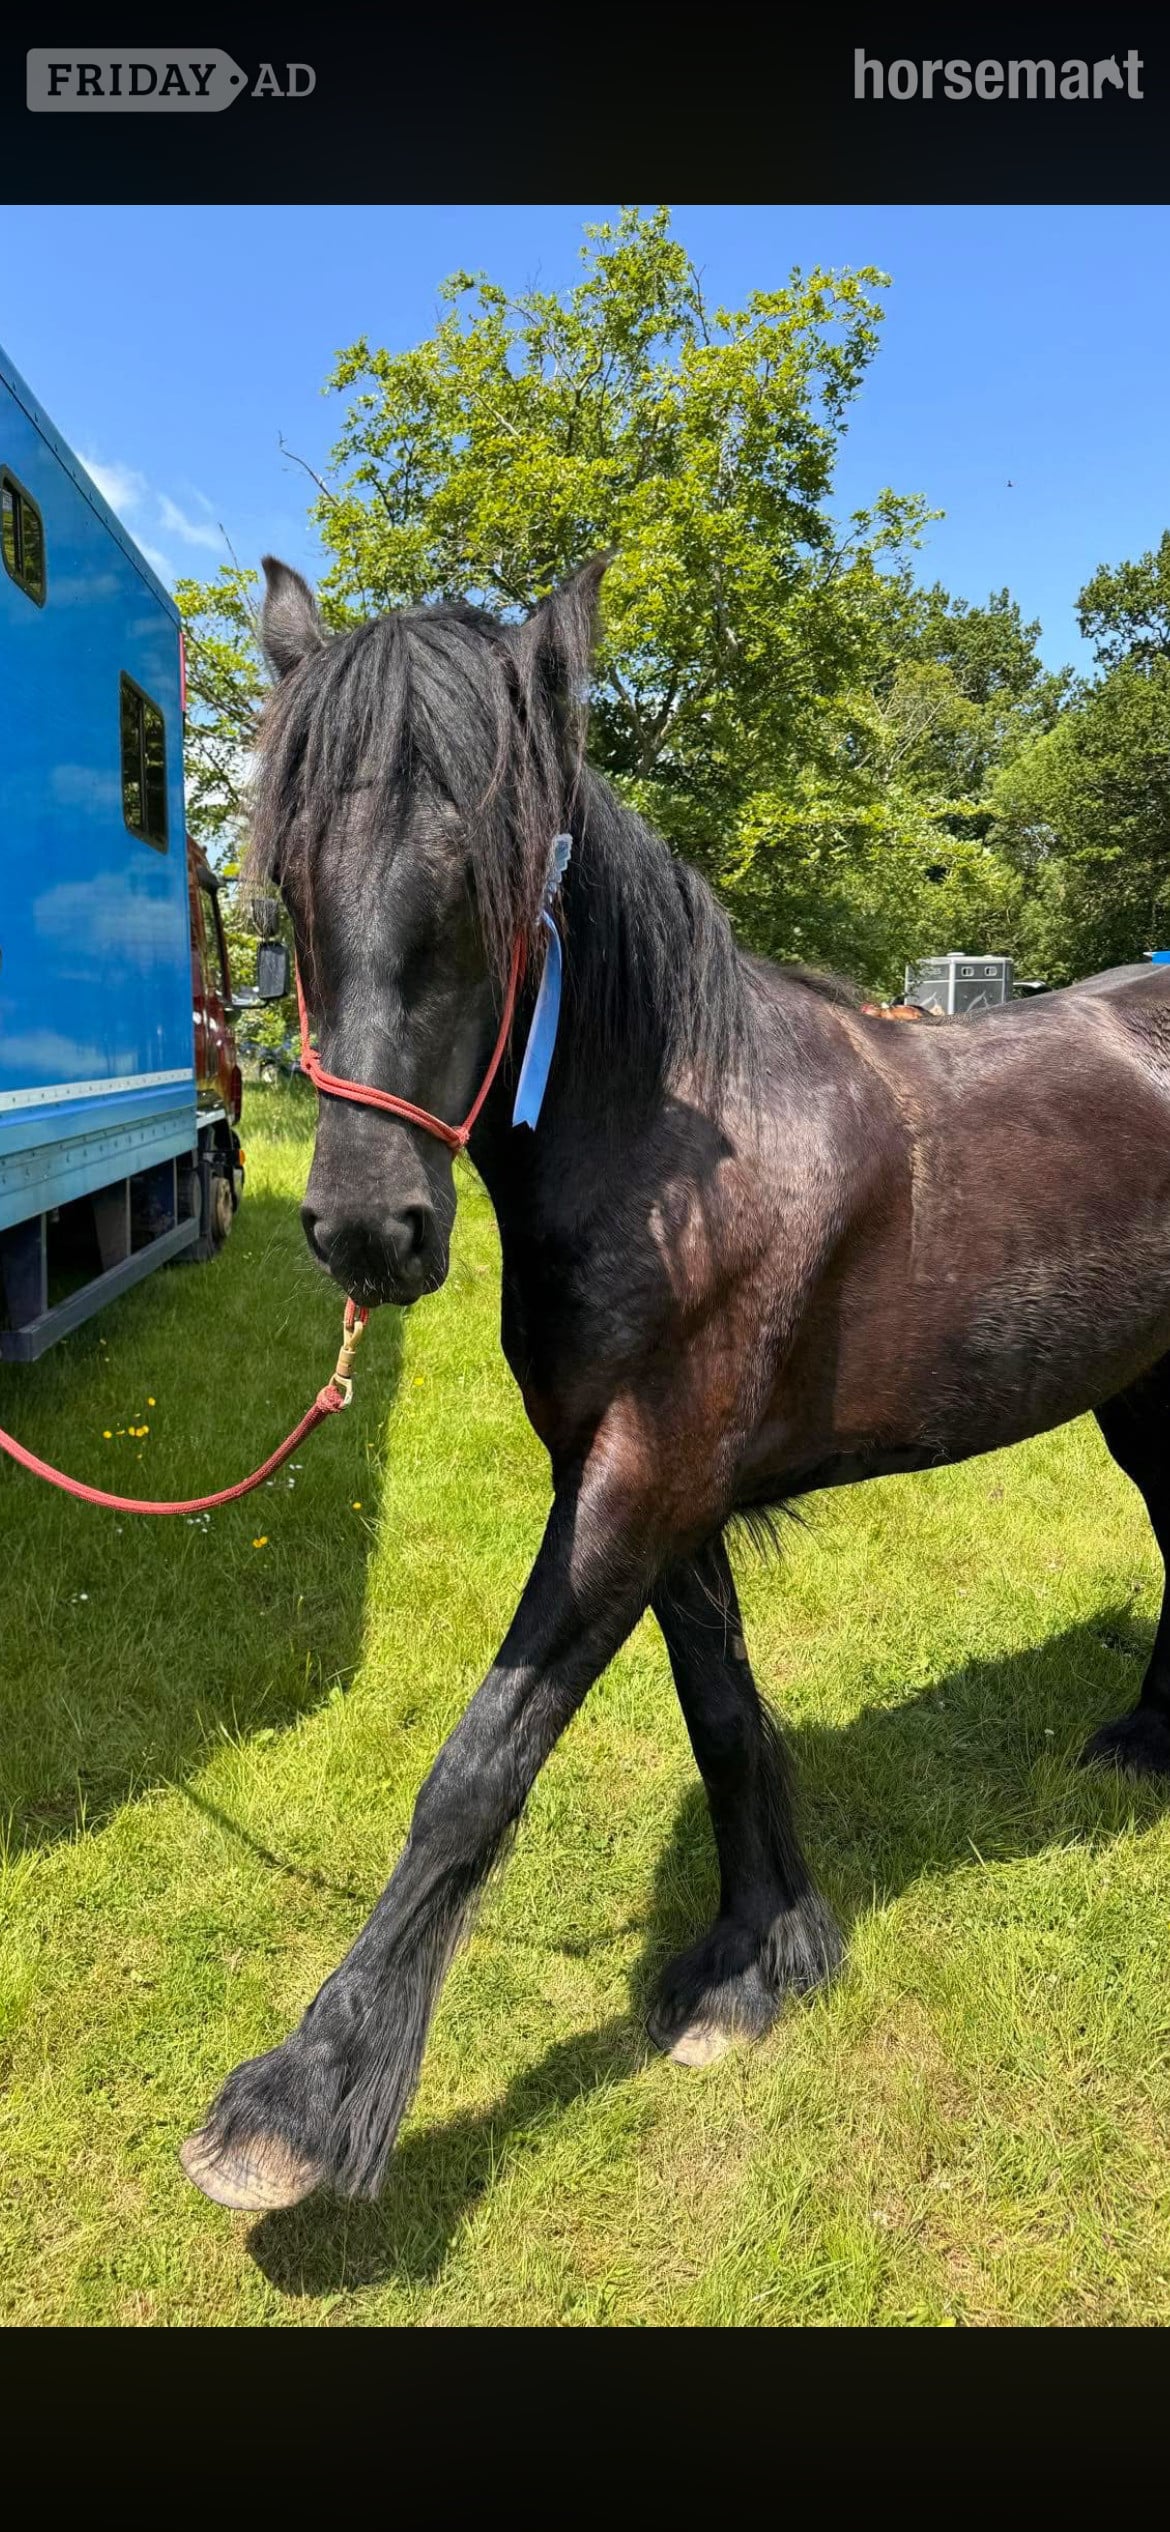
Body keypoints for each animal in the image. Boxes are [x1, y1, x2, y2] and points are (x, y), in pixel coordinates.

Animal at [181, 554, 1170, 2213]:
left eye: (496, 884)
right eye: (291, 887)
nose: (368, 1231)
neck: (683, 1157)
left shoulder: (644, 1478)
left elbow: (481, 1761)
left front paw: (303, 2098)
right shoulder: (650, 1476)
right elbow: (722, 1710)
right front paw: (756, 1960)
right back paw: (1135, 1744)